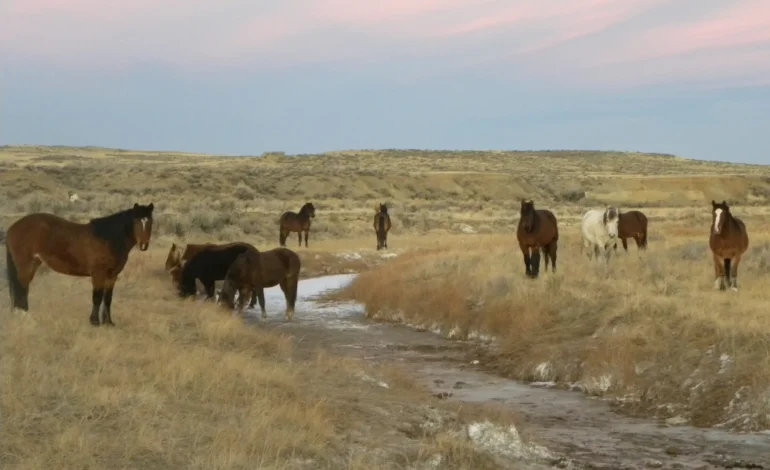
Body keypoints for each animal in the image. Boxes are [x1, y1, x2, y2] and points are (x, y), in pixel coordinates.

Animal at [5, 203, 155, 326]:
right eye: (136, 221)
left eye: (150, 222)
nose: (143, 245)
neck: (108, 239)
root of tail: (12, 228)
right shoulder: (98, 274)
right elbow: (97, 297)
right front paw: (94, 322)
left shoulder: (112, 275)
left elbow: (108, 298)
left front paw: (108, 322)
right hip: (26, 265)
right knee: (21, 287)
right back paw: (24, 316)